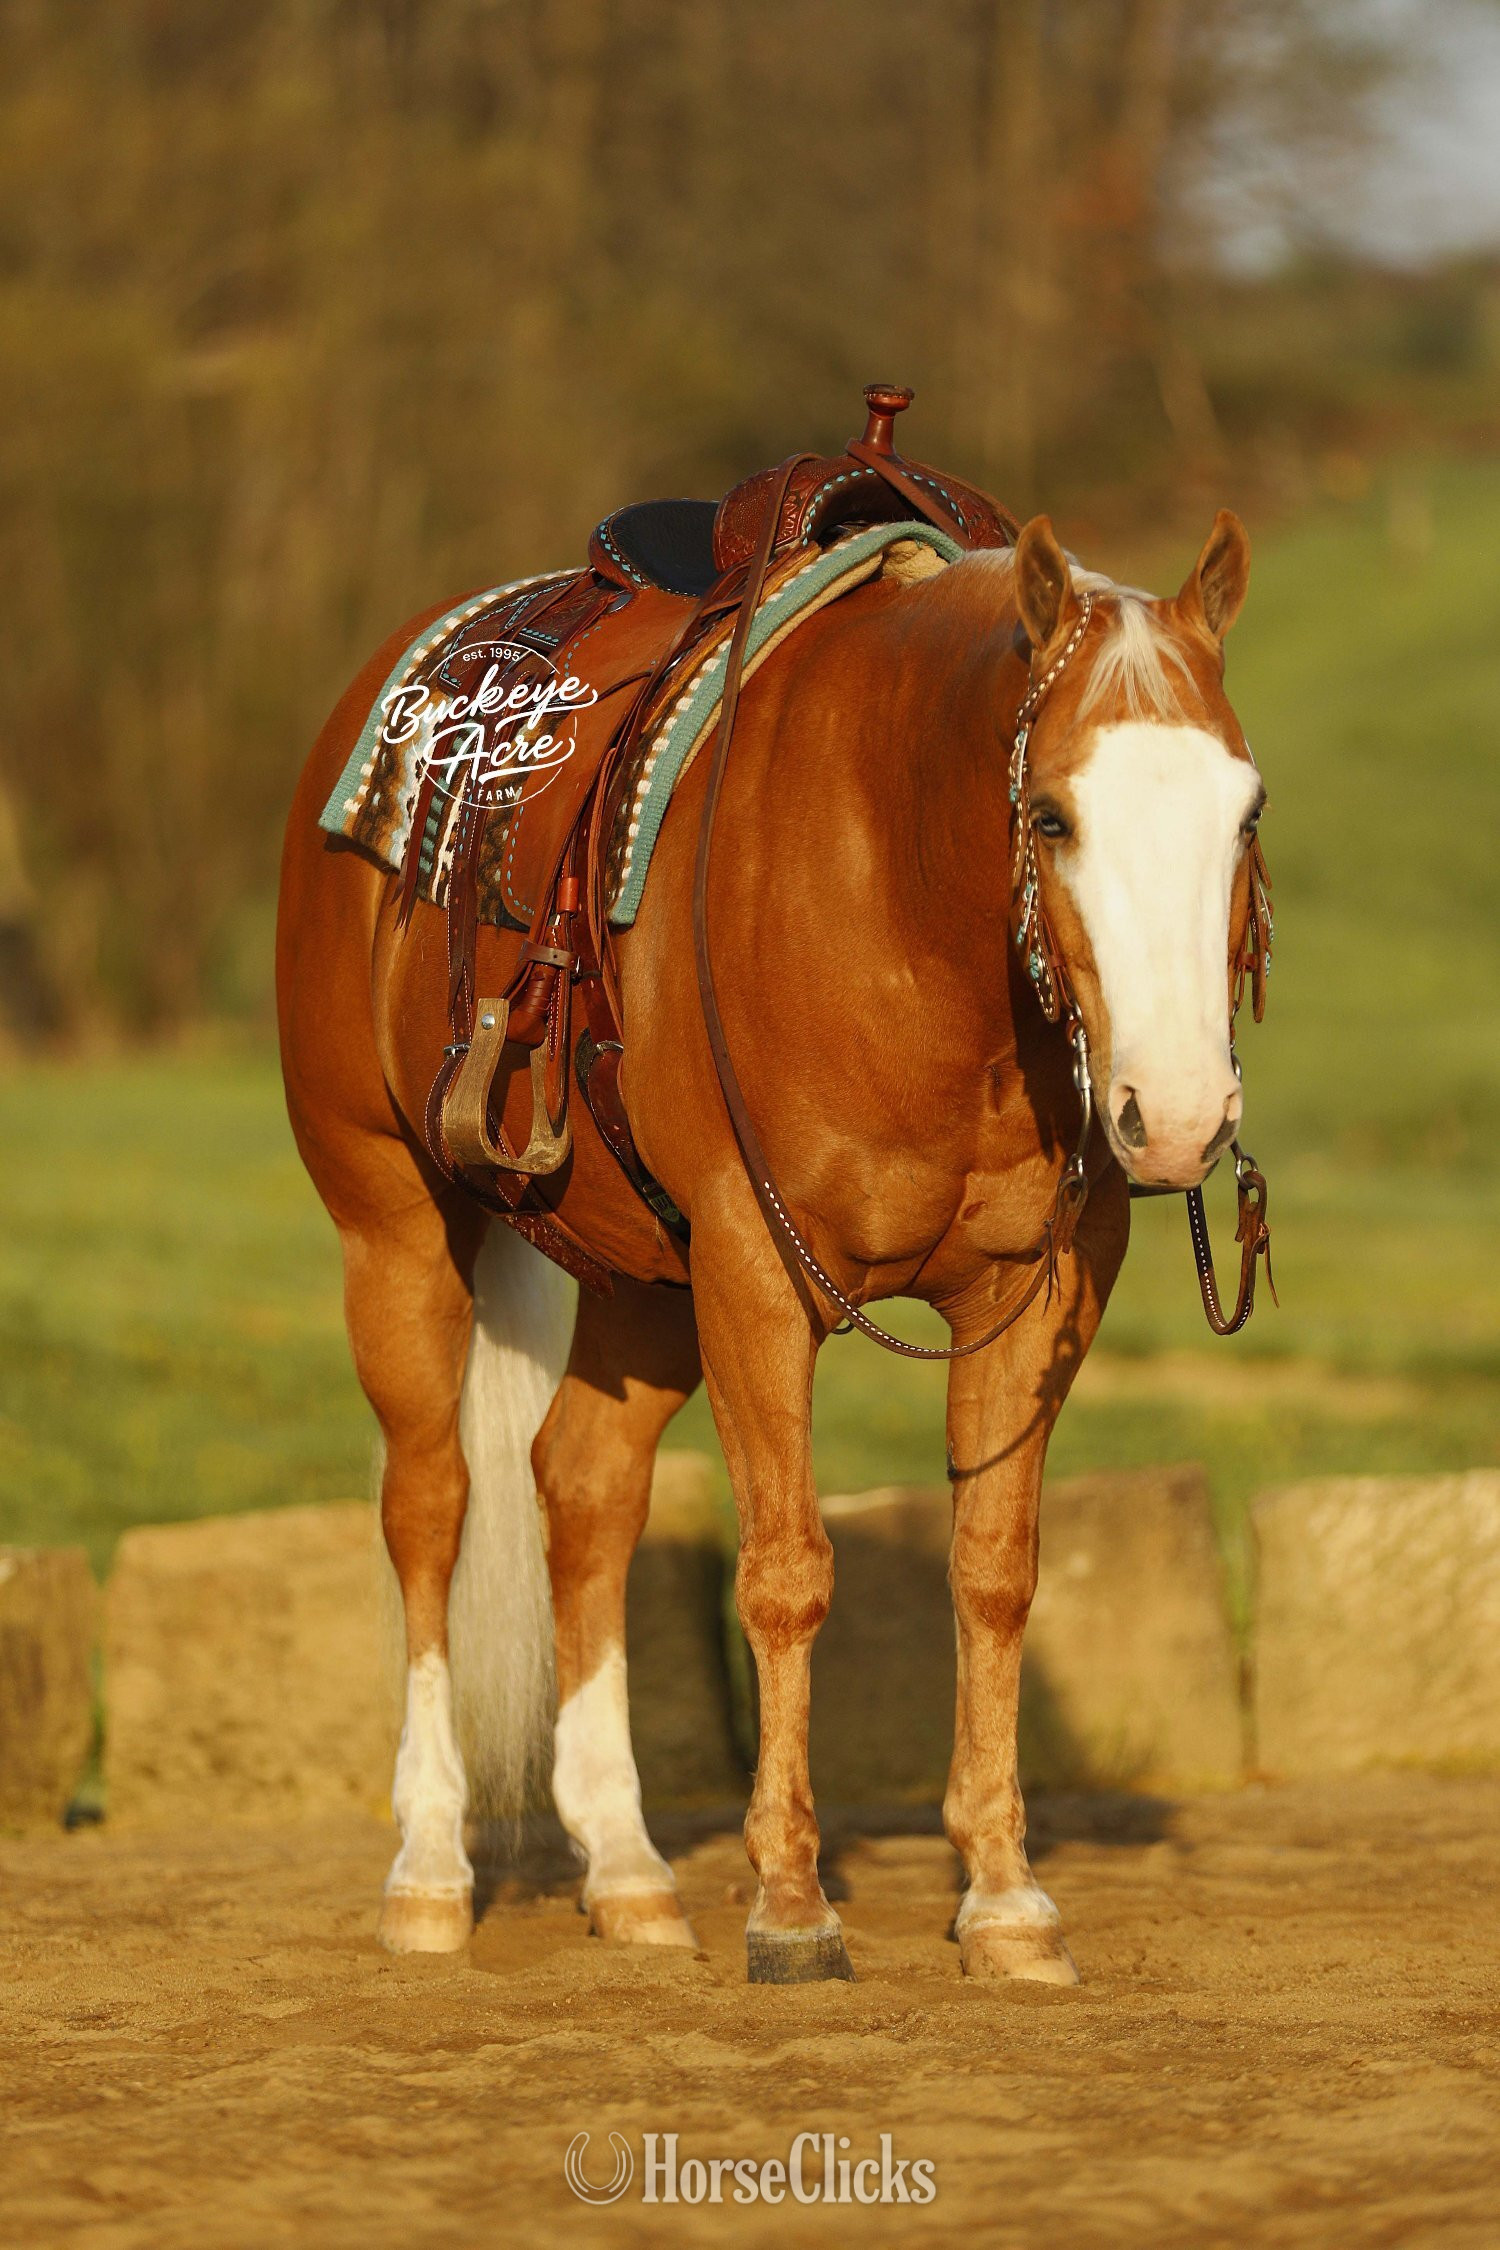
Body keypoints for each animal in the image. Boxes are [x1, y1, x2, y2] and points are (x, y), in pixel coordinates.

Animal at [276, 498, 1266, 1985]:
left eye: (1244, 808)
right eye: (1050, 811)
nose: (1184, 1114)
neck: (897, 904)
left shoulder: (1035, 1297)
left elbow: (995, 1574)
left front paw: (1005, 1897)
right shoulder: (755, 1271)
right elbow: (790, 1574)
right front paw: (792, 1903)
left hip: (644, 1281)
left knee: (583, 1487)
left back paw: (627, 1869)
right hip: (392, 1224)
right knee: (431, 1504)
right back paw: (431, 1869)